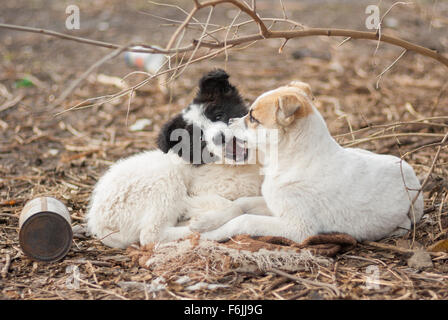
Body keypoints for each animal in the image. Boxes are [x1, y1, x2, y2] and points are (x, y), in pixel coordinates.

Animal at [86, 70, 262, 249]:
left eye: (219, 115)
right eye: (199, 137)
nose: (220, 138)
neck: (235, 167)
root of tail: (98, 224)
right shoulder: (198, 191)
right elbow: (235, 205)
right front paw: (203, 221)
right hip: (165, 180)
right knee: (151, 234)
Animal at [199, 82, 424, 242]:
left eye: (253, 118)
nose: (229, 121)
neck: (293, 161)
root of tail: (411, 172)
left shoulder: (296, 227)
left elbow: (244, 220)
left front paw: (208, 236)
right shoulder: (274, 205)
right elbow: (240, 204)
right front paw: (207, 222)